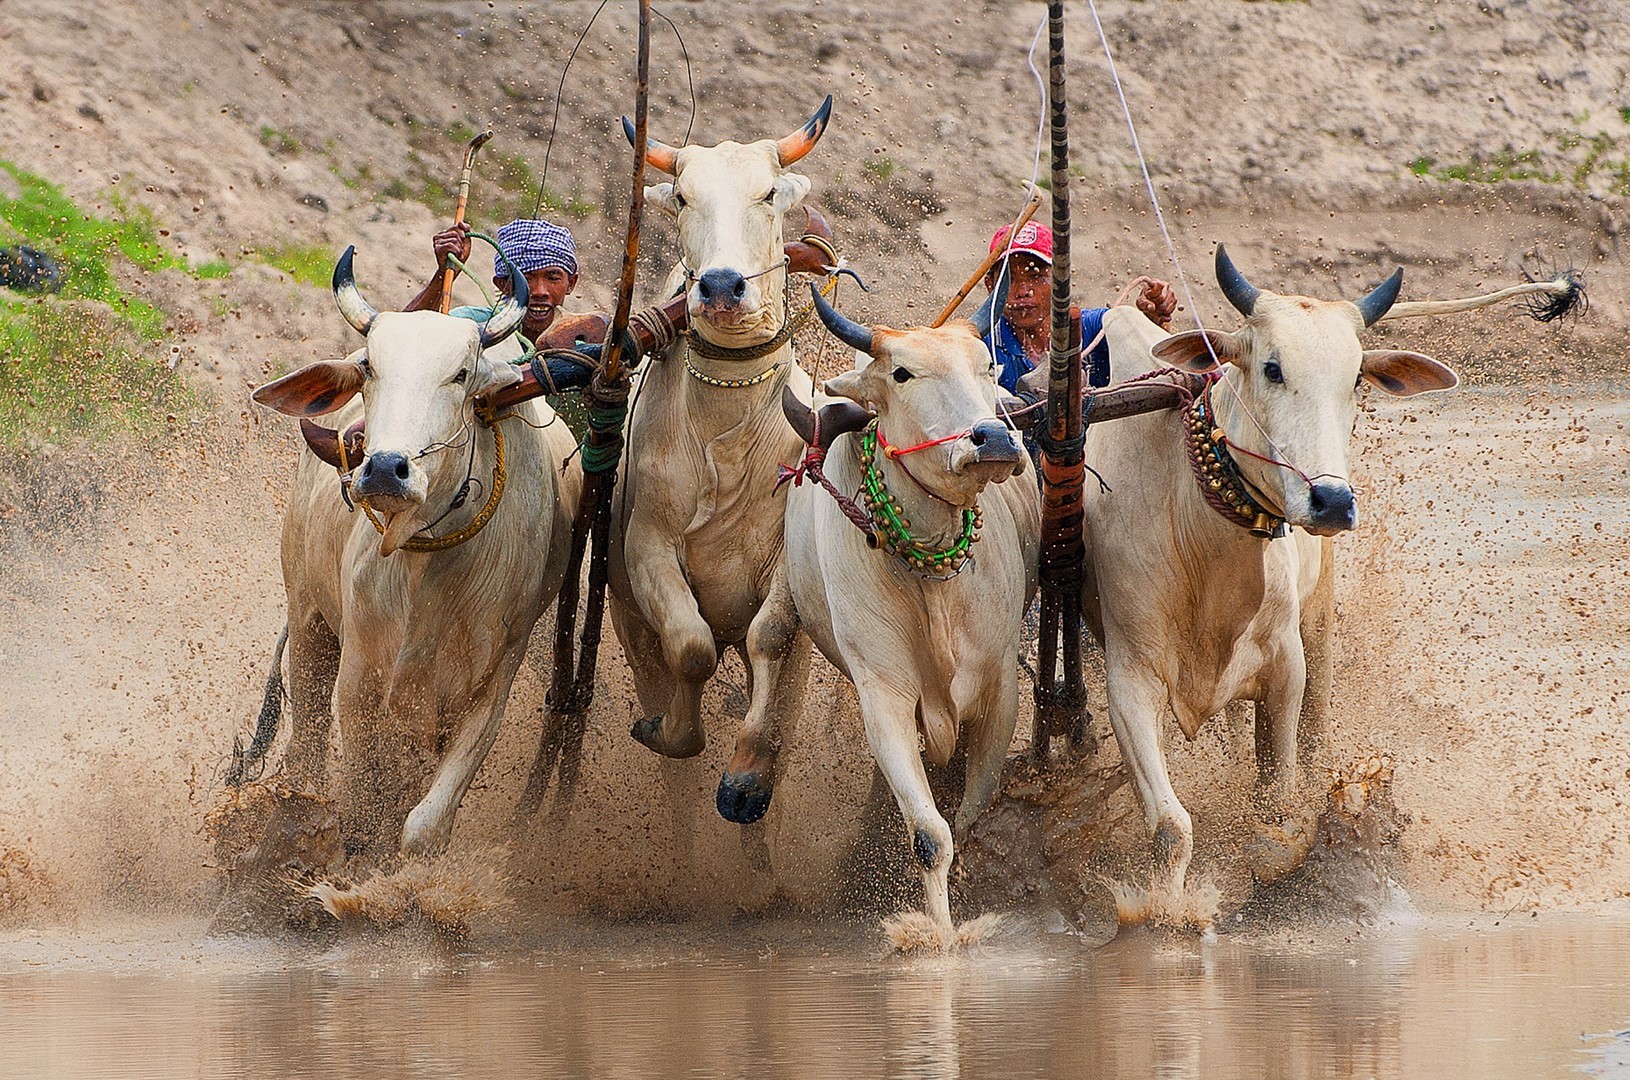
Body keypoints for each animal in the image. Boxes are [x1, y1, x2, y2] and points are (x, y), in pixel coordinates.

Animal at [250, 249, 581, 856]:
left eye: (462, 374)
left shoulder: (489, 685)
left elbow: (422, 824)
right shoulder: (361, 677)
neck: (424, 565)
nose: (384, 469)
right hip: (308, 618)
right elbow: (360, 805)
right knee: (304, 751)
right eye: (369, 368)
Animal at [610, 98, 832, 825]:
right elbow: (691, 646)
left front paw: (746, 777)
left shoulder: (787, 566)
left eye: (767, 194)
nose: (723, 286)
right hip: (627, 620)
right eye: (683, 196)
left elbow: (770, 636)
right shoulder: (647, 549)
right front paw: (674, 733)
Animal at [776, 285, 1040, 935]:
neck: (933, 579)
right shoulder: (884, 694)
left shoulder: (1000, 687)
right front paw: (939, 937)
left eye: (987, 368)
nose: (995, 439)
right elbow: (929, 834)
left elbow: (968, 816)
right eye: (902, 372)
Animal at [1080, 245, 1458, 907]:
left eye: (1355, 378)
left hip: (1321, 624)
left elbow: (1278, 802)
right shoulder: (1130, 677)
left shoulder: (1286, 667)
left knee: (1315, 735)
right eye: (1272, 368)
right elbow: (1170, 828)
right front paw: (1166, 913)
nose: (1331, 502)